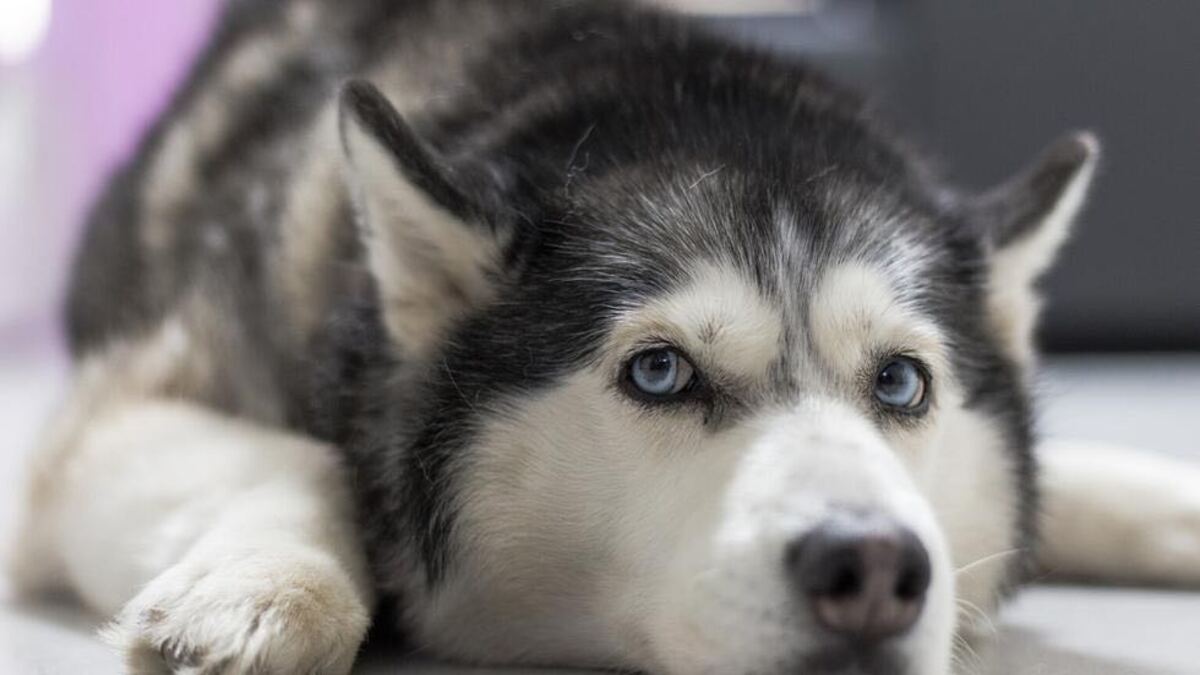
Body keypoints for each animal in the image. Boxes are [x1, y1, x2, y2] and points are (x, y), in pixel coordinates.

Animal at [9, 1, 1200, 672]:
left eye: (902, 384)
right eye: (660, 371)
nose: (871, 567)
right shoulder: (102, 424)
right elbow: (309, 460)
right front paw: (260, 589)